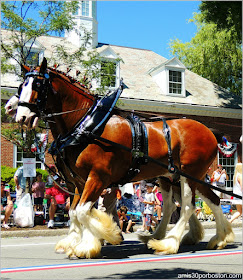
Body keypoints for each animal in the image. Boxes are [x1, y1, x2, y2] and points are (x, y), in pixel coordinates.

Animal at [8, 58, 234, 258]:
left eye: (38, 85)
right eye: (20, 86)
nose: (20, 115)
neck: (88, 125)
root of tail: (209, 132)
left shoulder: (97, 177)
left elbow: (83, 212)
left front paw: (100, 239)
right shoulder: (78, 181)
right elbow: (76, 212)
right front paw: (81, 242)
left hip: (189, 174)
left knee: (187, 206)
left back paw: (169, 243)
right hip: (175, 176)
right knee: (200, 202)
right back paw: (214, 238)